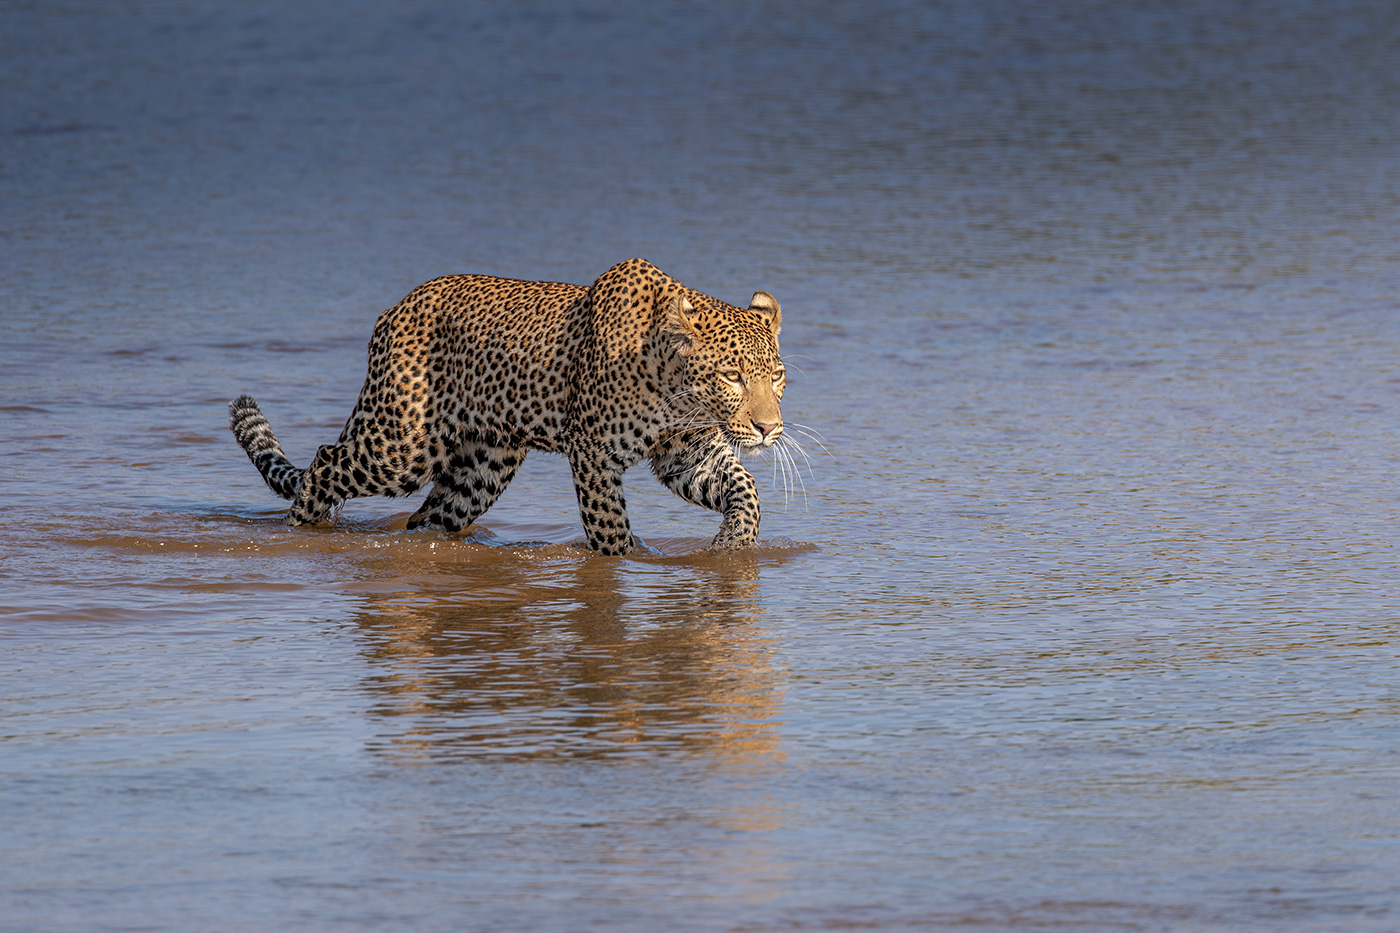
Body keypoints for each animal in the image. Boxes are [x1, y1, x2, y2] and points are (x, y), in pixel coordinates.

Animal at [228, 258, 787, 556]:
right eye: (732, 376)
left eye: (776, 376)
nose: (768, 429)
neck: (676, 391)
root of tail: (392, 311)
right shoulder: (594, 455)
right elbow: (609, 526)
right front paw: (630, 560)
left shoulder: (685, 454)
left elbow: (746, 489)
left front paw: (732, 547)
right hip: (403, 446)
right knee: (324, 463)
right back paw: (301, 531)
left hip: (481, 466)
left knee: (429, 516)